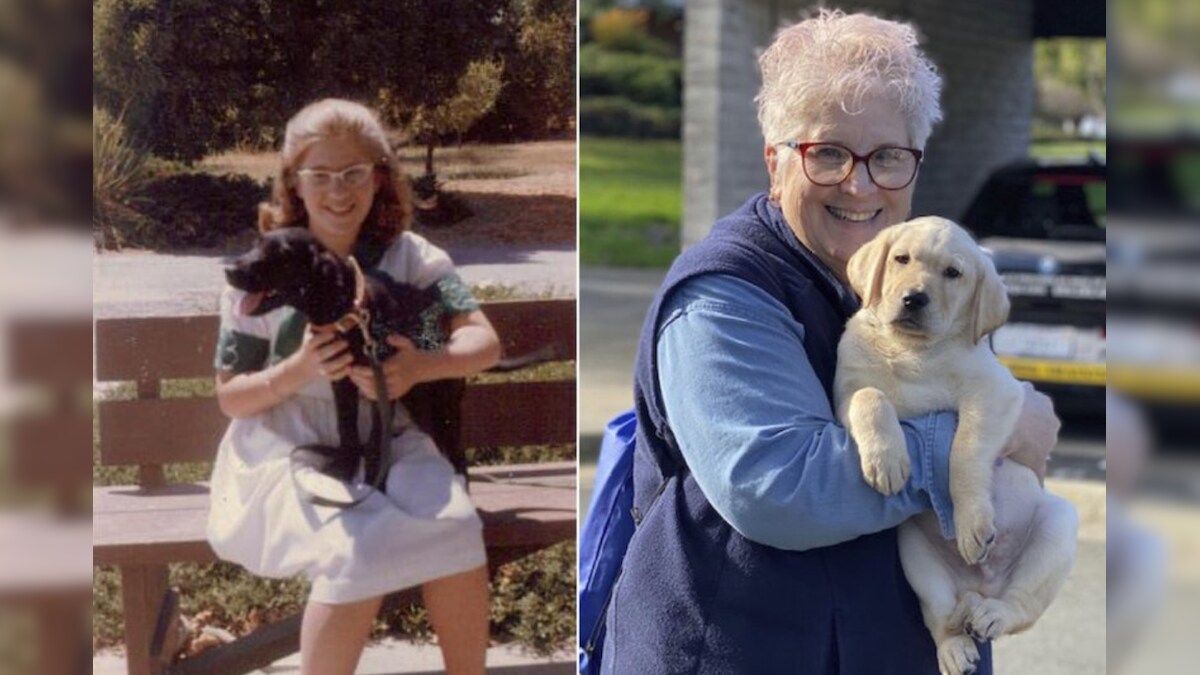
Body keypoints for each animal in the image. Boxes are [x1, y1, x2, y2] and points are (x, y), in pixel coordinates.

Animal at [223, 225, 444, 487]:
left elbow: (376, 437)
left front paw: (374, 478)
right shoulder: (341, 379)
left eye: (283, 254)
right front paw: (345, 466)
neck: (351, 315)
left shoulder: (382, 382)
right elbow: (345, 427)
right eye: (255, 243)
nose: (229, 270)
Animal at [835, 214, 1080, 672]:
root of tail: (981, 586)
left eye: (953, 273)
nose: (914, 299)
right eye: (901, 259)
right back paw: (955, 647)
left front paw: (971, 524)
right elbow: (870, 398)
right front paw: (886, 460)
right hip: (915, 557)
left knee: (1020, 608)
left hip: (1057, 528)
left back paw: (992, 613)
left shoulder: (994, 393)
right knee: (943, 616)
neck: (912, 351)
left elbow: (964, 450)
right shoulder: (844, 394)